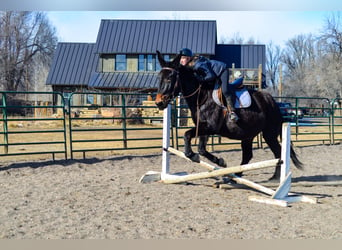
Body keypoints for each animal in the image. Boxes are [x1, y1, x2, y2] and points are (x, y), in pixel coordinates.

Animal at [155, 50, 302, 180]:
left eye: (169, 78)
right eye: (159, 78)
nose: (159, 103)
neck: (201, 96)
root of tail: (272, 101)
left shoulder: (210, 127)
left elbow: (187, 135)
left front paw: (193, 155)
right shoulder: (203, 128)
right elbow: (201, 149)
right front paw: (220, 161)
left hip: (269, 134)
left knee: (278, 153)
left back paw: (275, 178)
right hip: (248, 135)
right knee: (248, 155)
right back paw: (236, 176)